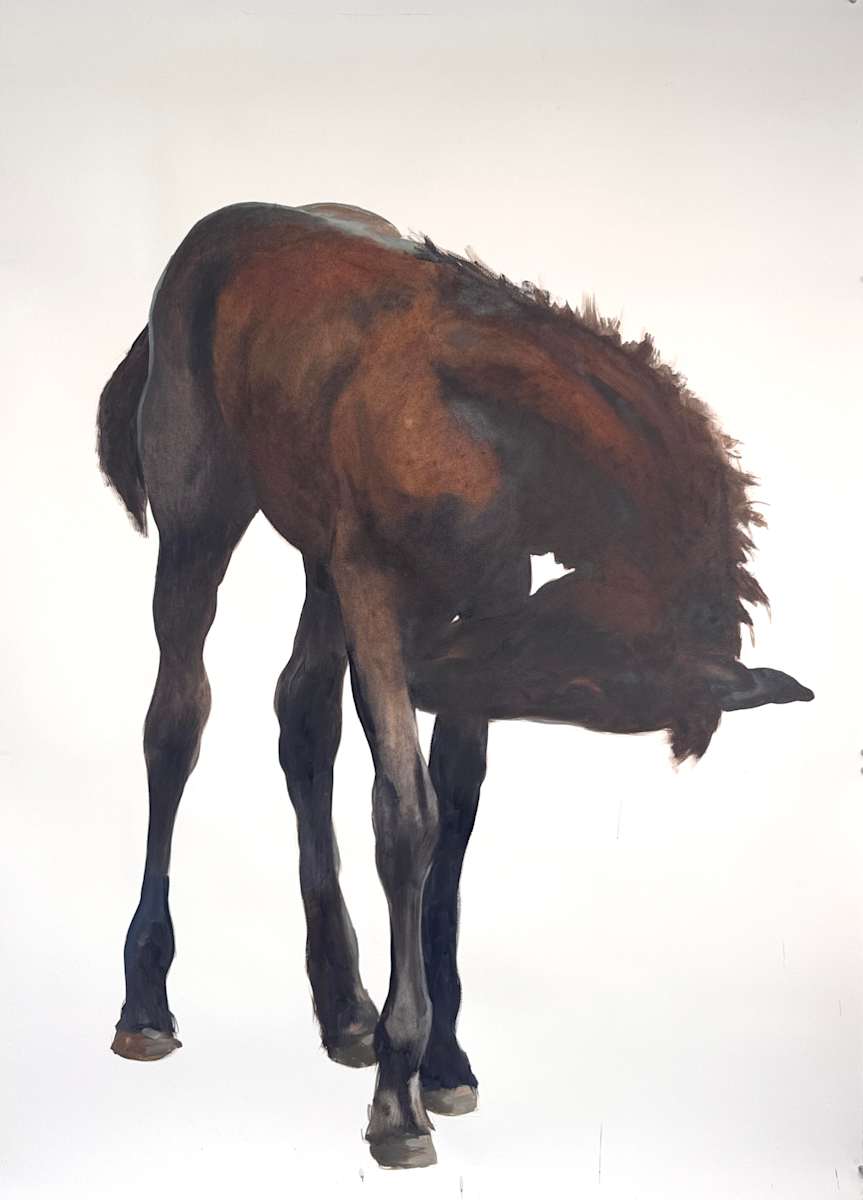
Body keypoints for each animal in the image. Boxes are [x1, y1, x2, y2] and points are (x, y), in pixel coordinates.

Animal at [96, 200, 813, 1169]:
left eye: (584, 694)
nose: (424, 667)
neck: (479, 424)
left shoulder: (484, 601)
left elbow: (457, 813)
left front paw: (439, 1062)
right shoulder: (377, 592)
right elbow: (407, 815)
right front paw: (397, 1101)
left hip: (320, 567)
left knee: (303, 719)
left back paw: (343, 1009)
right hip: (203, 526)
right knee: (177, 723)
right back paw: (147, 1005)